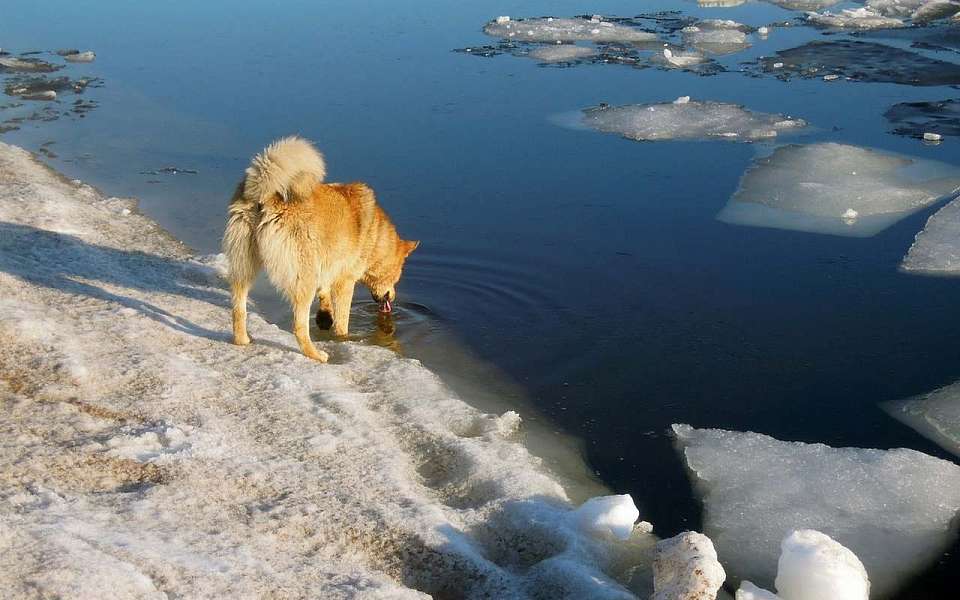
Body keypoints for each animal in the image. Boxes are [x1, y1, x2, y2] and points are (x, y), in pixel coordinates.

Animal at [227, 137, 422, 360]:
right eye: (398, 274)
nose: (392, 299)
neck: (375, 236)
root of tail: (266, 193)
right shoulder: (345, 281)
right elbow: (342, 320)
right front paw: (342, 338)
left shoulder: (328, 264)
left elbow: (325, 292)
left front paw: (324, 317)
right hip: (303, 278)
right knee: (299, 326)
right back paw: (316, 355)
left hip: (244, 265)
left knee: (238, 310)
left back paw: (242, 340)